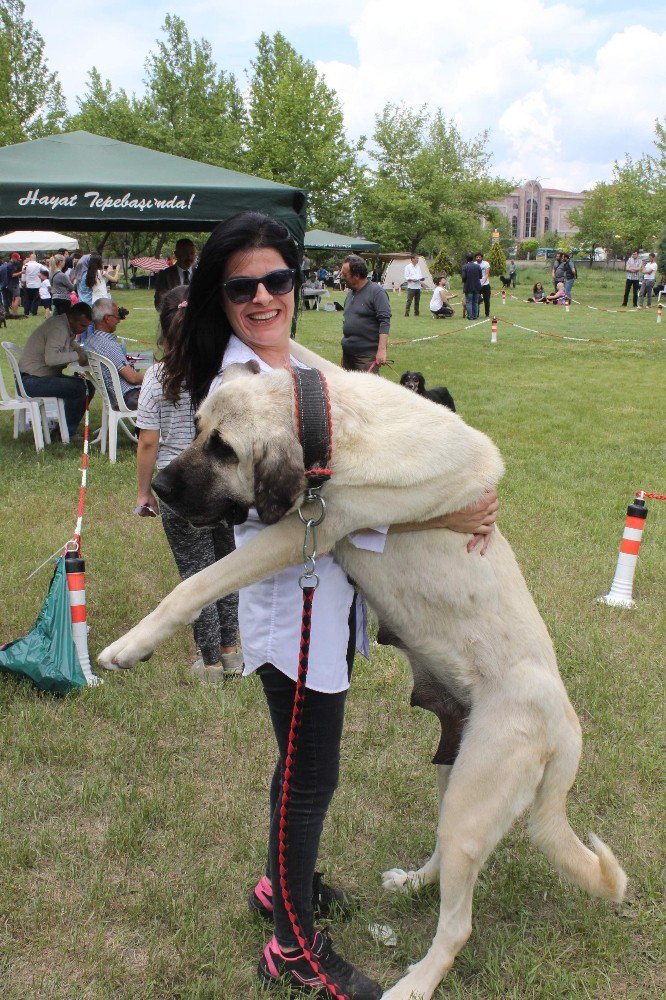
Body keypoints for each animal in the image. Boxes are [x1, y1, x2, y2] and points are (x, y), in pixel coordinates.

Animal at [97, 346, 624, 1000]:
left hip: (473, 803)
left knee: (458, 925)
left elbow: (193, 585)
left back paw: (416, 983)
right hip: (456, 777)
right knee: (448, 867)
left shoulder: (306, 530)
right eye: (195, 430)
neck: (335, 426)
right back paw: (415, 882)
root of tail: (568, 728)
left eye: (224, 449)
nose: (160, 489)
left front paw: (127, 647)